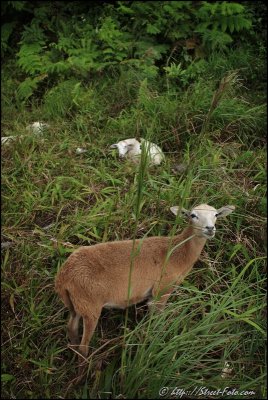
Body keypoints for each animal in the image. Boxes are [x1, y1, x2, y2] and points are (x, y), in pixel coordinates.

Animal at [54, 203, 234, 376]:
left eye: (216, 214)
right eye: (193, 215)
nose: (210, 228)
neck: (178, 251)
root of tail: (64, 277)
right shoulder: (161, 291)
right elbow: (156, 323)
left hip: (76, 305)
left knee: (71, 329)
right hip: (90, 306)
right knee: (83, 346)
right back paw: (83, 375)